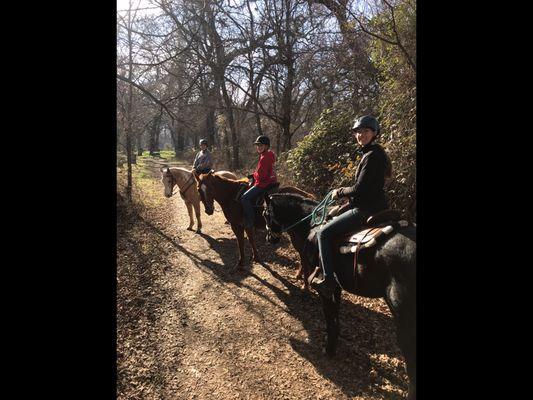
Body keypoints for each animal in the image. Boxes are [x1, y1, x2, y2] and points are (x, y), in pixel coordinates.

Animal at [264, 192, 418, 398]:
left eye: (265, 214)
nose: (270, 239)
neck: (312, 223)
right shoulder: (335, 288)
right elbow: (335, 316)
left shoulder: (324, 287)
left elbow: (330, 317)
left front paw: (328, 349)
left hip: (403, 315)